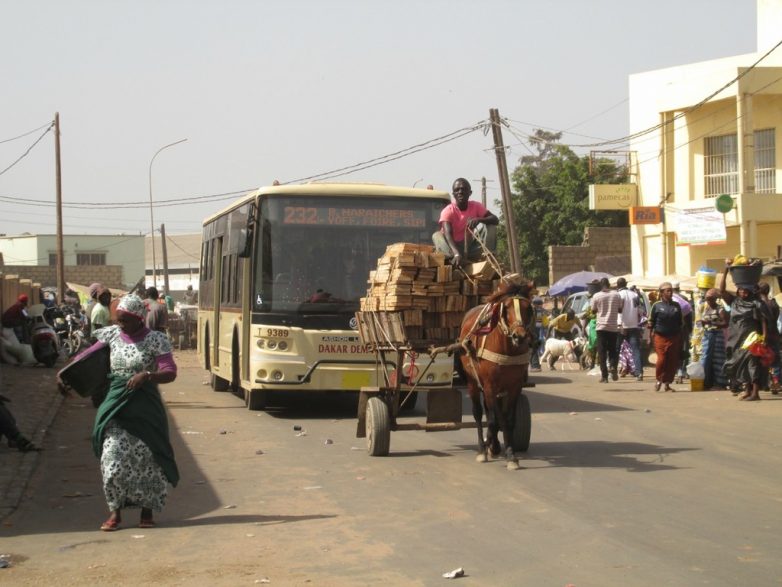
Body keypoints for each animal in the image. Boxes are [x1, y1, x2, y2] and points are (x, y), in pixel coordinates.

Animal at [456, 276, 536, 474]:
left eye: (528, 308)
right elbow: (493, 420)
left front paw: (510, 454)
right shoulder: (490, 386)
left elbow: (508, 420)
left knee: (492, 414)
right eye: (506, 307)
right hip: (473, 382)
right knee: (479, 413)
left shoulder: (514, 387)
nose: (519, 336)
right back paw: (482, 448)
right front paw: (490, 447)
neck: (507, 349)